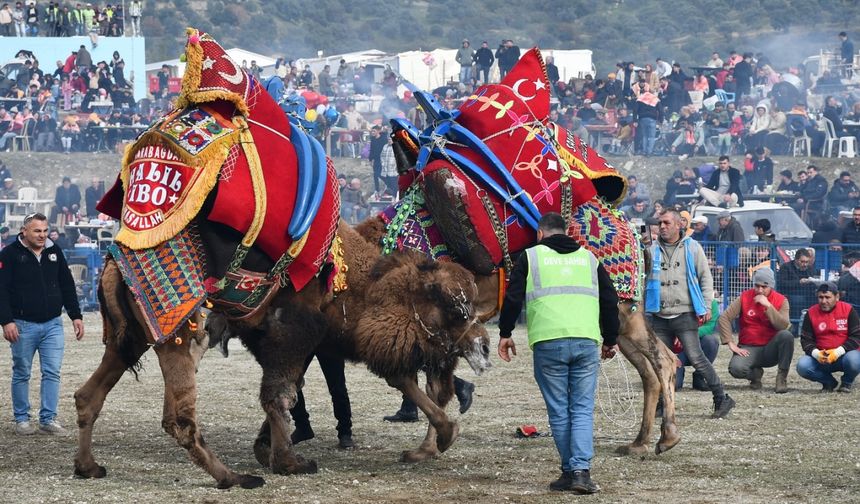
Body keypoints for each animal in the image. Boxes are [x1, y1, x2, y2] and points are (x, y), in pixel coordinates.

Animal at [74, 218, 490, 488]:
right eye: (456, 308)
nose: (484, 344)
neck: (354, 285)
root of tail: (112, 263)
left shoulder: (291, 343)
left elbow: (289, 392)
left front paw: (270, 450)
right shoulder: (291, 337)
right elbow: (281, 395)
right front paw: (290, 462)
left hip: (130, 341)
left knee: (88, 396)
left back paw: (88, 467)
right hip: (177, 337)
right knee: (179, 417)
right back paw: (234, 478)